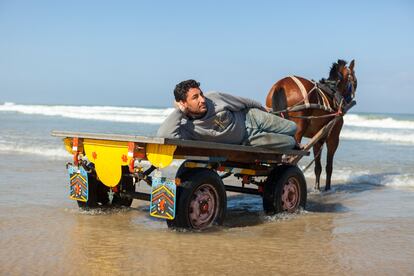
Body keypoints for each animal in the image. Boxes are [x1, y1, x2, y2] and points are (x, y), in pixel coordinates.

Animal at [266, 59, 358, 191]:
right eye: (355, 80)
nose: (349, 100)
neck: (333, 91)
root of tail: (280, 84)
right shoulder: (333, 137)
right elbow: (329, 166)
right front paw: (327, 188)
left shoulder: (318, 138)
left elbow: (318, 167)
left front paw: (317, 188)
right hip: (298, 131)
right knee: (290, 158)